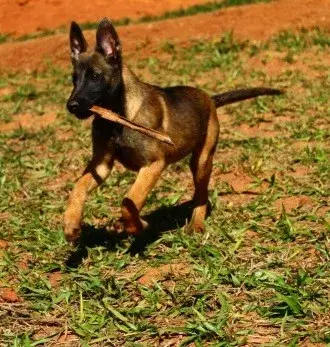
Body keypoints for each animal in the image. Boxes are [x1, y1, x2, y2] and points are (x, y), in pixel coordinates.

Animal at [63, 17, 282, 243]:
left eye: (95, 77)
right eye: (74, 79)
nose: (71, 105)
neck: (118, 118)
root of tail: (210, 99)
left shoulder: (154, 165)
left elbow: (129, 201)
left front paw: (137, 225)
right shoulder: (102, 164)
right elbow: (78, 188)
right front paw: (71, 224)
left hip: (202, 161)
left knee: (202, 195)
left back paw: (196, 224)